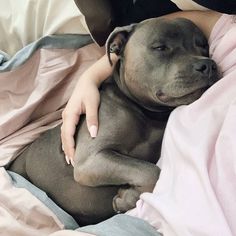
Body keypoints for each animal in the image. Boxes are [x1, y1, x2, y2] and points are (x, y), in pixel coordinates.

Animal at [8, 17, 218, 225]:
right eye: (160, 47)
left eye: (203, 45)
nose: (208, 65)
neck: (145, 111)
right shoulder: (91, 160)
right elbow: (150, 171)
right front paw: (127, 199)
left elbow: (147, 169)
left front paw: (127, 198)